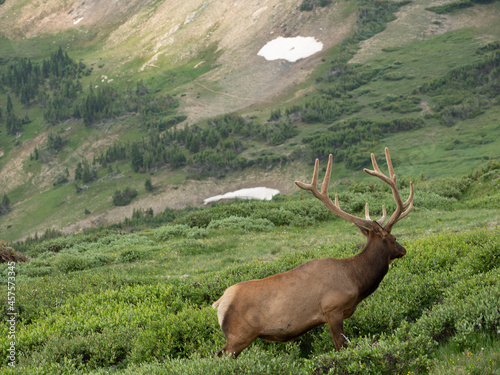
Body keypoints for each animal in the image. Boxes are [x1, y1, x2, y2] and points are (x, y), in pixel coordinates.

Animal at [211, 148, 414, 356]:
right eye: (393, 238)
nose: (403, 250)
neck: (356, 278)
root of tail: (219, 303)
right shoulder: (333, 309)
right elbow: (340, 346)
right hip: (238, 336)